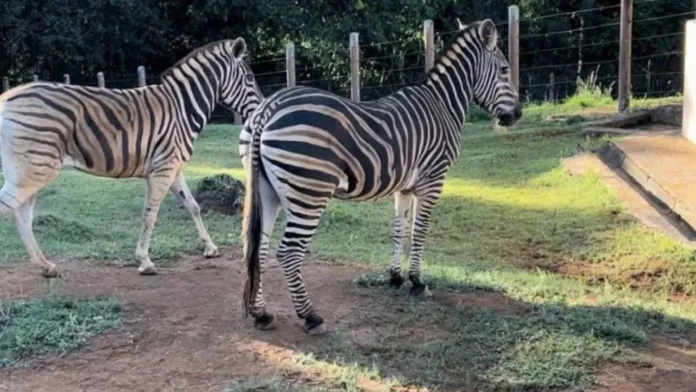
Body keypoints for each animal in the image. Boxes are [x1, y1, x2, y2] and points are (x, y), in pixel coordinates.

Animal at [0, 36, 260, 278]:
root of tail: (7, 97)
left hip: (30, 170)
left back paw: (46, 266)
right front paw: (144, 261)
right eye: (249, 78)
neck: (182, 108)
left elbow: (193, 205)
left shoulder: (173, 167)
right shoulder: (163, 169)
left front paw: (210, 248)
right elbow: (150, 213)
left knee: (22, 215)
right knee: (14, 210)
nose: (259, 109)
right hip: (36, 168)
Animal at [242, 19, 520, 334]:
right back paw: (311, 317)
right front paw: (418, 282)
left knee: (258, 250)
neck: (442, 106)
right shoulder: (434, 180)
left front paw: (396, 277)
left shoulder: (405, 187)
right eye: (504, 70)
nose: (517, 114)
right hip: (309, 192)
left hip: (266, 191)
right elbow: (420, 231)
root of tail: (268, 108)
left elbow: (400, 229)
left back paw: (262, 314)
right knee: (289, 252)